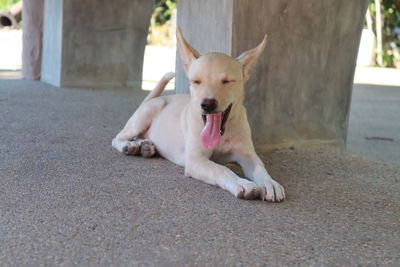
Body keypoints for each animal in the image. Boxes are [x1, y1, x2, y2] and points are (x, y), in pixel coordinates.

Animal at [113, 27, 284, 203]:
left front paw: (269, 183)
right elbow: (221, 169)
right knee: (118, 137)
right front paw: (242, 184)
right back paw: (130, 146)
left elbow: (260, 168)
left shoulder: (247, 154)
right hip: (148, 112)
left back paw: (144, 146)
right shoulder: (196, 160)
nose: (207, 104)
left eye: (227, 81)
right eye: (196, 81)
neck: (222, 133)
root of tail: (152, 99)